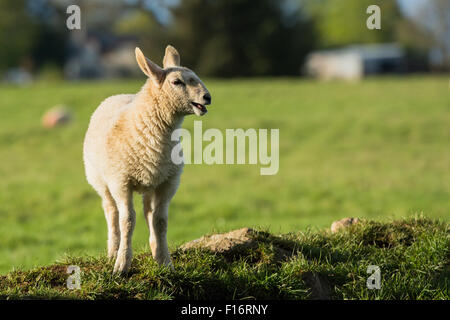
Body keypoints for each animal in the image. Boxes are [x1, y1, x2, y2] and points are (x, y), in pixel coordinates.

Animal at [82, 46, 213, 274]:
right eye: (176, 82)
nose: (207, 97)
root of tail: (118, 95)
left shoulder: (168, 183)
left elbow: (160, 221)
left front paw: (165, 262)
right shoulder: (121, 182)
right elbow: (127, 221)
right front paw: (121, 264)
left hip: (150, 181)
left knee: (147, 213)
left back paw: (153, 248)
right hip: (100, 180)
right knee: (111, 212)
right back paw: (112, 251)